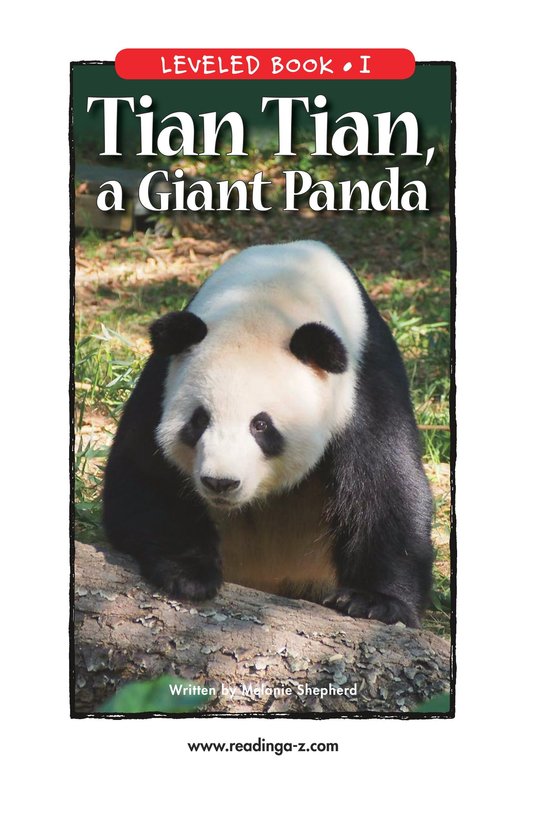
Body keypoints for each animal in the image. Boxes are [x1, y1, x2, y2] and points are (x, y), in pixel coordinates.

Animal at [103, 240, 434, 628]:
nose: (220, 483)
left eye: (260, 425)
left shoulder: (365, 381)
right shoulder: (163, 378)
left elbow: (386, 483)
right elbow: (143, 474)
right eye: (199, 420)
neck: (269, 296)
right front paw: (187, 573)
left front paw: (374, 601)